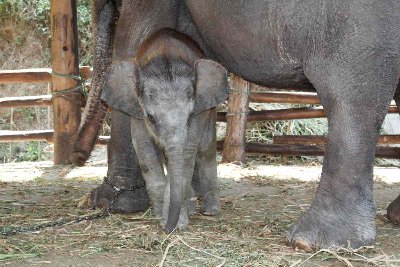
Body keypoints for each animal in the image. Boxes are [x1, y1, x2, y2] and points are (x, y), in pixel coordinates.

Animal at [101, 28, 231, 232]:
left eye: (190, 115)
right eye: (151, 118)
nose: (167, 229)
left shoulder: (199, 112)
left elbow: (187, 153)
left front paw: (178, 223)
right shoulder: (136, 110)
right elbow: (145, 150)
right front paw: (162, 217)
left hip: (210, 109)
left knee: (205, 150)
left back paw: (210, 211)